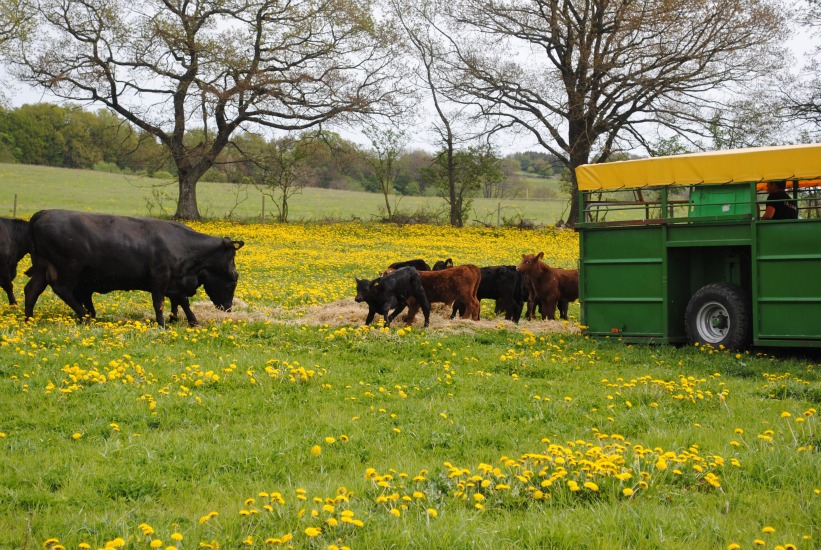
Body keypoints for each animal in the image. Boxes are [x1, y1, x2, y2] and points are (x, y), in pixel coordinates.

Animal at [24, 209, 243, 326]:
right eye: (232, 280)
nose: (228, 308)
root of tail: (44, 213)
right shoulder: (160, 276)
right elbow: (159, 302)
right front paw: (163, 324)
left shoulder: (175, 281)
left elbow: (182, 302)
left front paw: (192, 321)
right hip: (68, 268)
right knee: (62, 289)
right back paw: (85, 316)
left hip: (43, 268)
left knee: (32, 290)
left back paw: (29, 319)